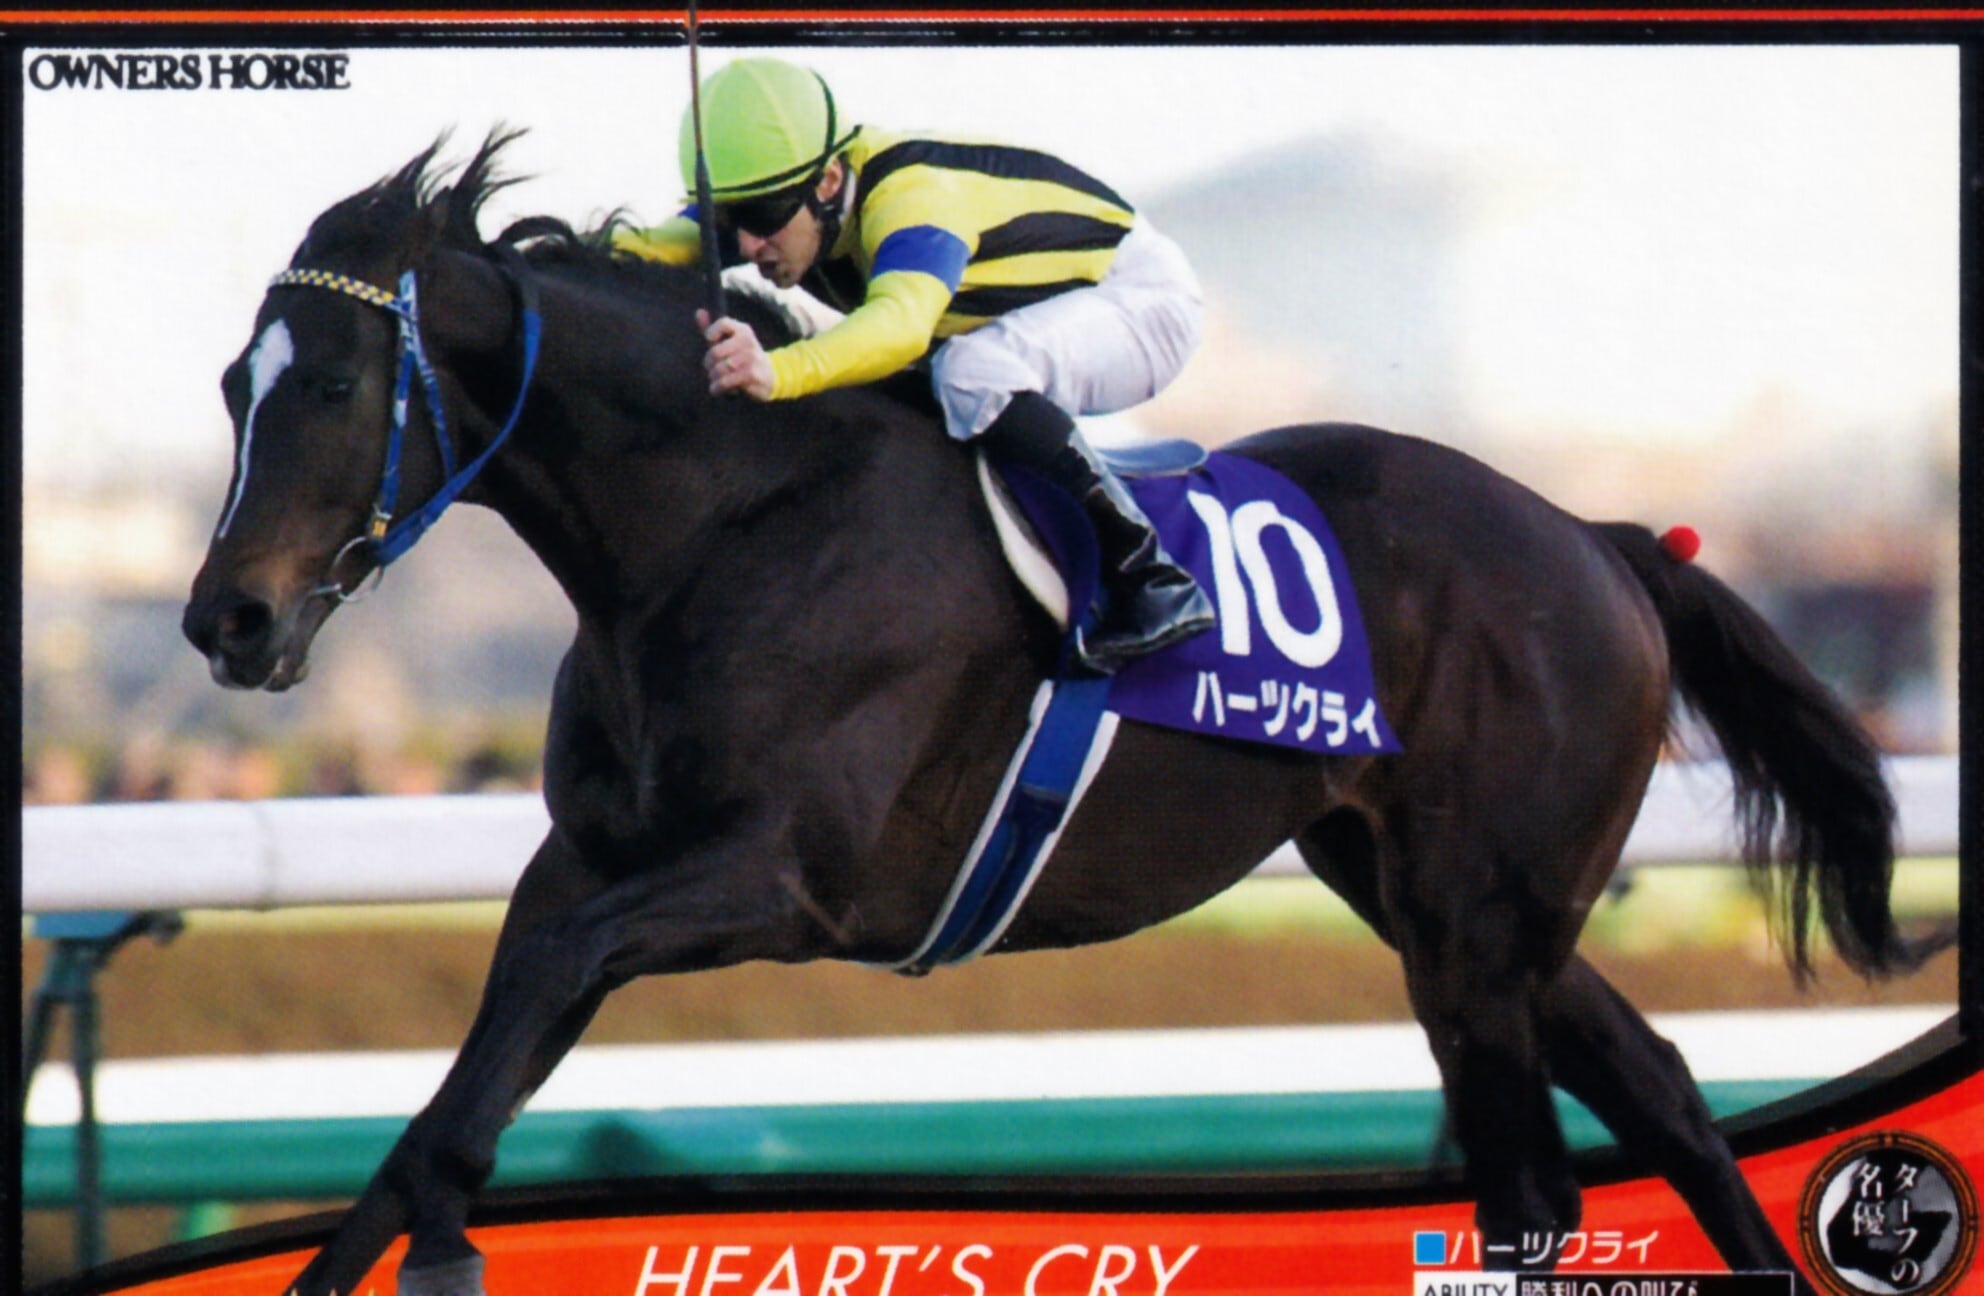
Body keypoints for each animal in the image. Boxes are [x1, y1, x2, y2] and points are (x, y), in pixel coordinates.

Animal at [183, 132, 1929, 1296]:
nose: (224, 621)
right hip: (1445, 899)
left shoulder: (783, 881)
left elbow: (535, 998)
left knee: (1534, 1186)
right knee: (1667, 1097)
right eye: (227, 383)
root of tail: (1595, 537)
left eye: (330, 384)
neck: (718, 523)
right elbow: (469, 1078)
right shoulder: (587, 860)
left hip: (1477, 919)